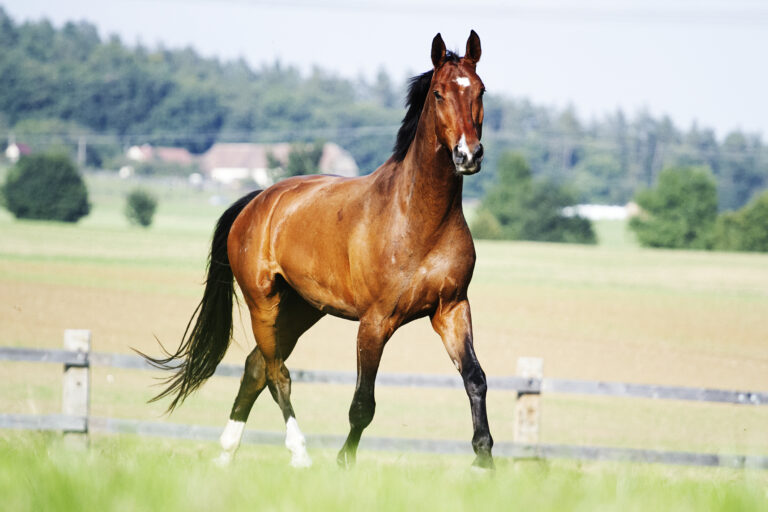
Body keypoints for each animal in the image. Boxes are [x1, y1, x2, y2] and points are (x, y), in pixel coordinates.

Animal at [142, 30, 494, 470]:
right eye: (440, 93)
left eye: (480, 90)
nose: (468, 155)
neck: (418, 219)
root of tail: (258, 201)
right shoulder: (375, 322)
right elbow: (362, 403)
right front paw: (344, 462)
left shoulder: (451, 309)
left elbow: (475, 378)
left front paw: (485, 458)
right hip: (265, 305)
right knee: (277, 373)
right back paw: (299, 454)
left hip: (302, 309)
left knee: (255, 366)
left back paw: (226, 455)